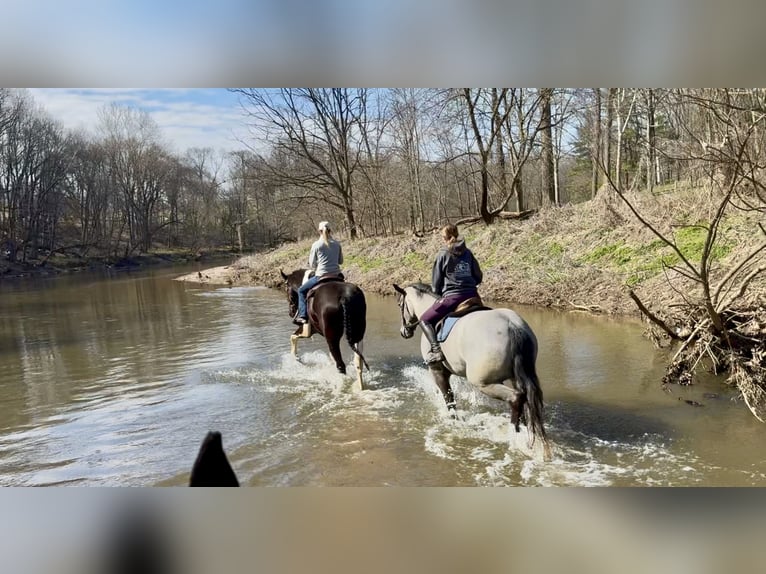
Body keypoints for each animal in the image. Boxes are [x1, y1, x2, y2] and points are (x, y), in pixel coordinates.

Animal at [393, 283, 550, 459]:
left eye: (400, 304)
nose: (404, 331)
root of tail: (512, 326)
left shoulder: (437, 371)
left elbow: (449, 399)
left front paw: (454, 421)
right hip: (516, 378)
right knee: (524, 401)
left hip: (483, 383)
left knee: (516, 398)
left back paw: (514, 435)